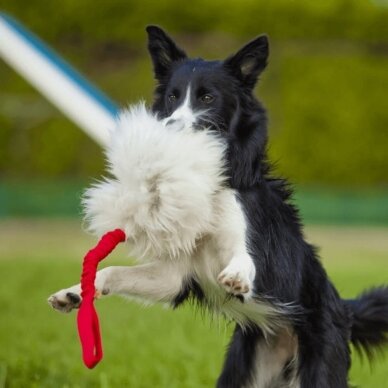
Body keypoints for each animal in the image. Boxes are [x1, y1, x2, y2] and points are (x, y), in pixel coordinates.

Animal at [48, 25, 388, 386]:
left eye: (207, 98)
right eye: (173, 96)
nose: (170, 127)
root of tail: (345, 311)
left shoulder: (254, 245)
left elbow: (245, 256)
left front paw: (237, 276)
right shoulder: (174, 275)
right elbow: (113, 270)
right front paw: (74, 293)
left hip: (320, 364)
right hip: (242, 367)